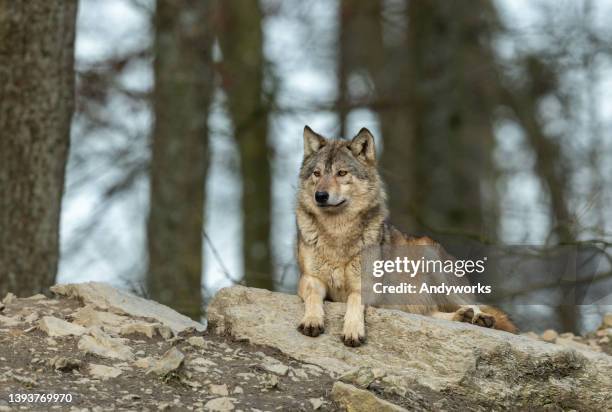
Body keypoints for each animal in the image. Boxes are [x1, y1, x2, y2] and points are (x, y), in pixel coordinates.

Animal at [296, 126, 516, 348]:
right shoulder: (310, 279)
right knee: (432, 313)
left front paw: (352, 330)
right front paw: (312, 321)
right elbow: (313, 296)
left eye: (341, 173)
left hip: (432, 261)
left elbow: (354, 300)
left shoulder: (366, 285)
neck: (337, 233)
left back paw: (480, 318)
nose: (320, 195)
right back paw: (463, 316)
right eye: (317, 174)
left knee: (474, 306)